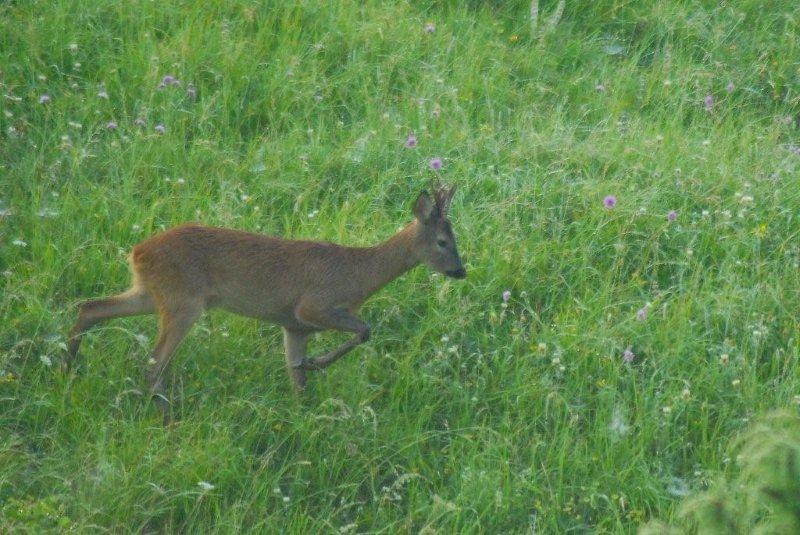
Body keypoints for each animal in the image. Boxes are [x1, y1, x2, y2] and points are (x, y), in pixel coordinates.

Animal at [67, 185, 468, 422]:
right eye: (444, 242)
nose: (461, 271)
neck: (359, 274)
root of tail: (137, 252)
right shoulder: (312, 306)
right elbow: (365, 330)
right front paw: (316, 364)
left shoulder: (295, 326)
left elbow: (297, 381)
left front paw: (304, 411)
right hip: (184, 303)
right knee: (154, 360)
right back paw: (167, 415)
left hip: (151, 293)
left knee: (90, 307)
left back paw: (67, 366)